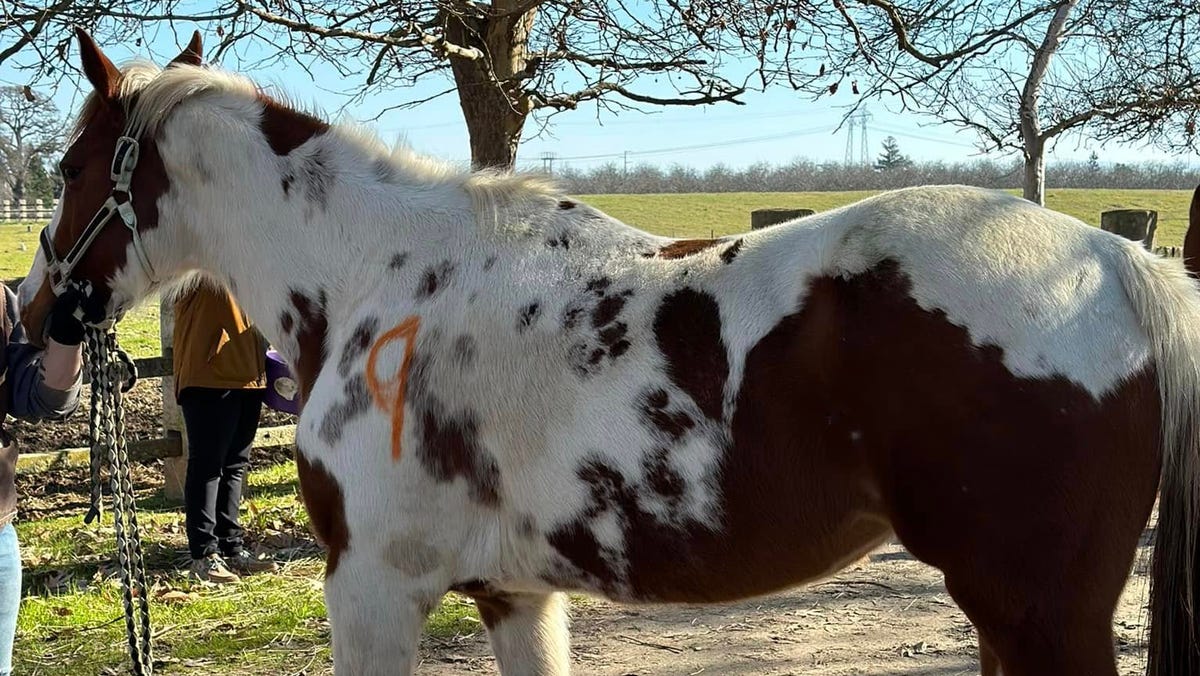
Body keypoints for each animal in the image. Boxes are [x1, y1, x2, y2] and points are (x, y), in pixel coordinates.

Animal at [19, 29, 1200, 676]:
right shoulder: (517, 595)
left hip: (1039, 617)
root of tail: (1109, 262)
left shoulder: (370, 589)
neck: (381, 271)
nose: (38, 311)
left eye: (72, 165)